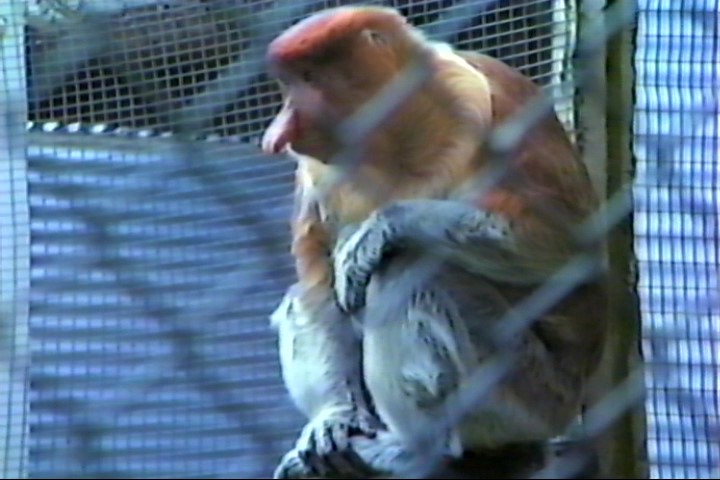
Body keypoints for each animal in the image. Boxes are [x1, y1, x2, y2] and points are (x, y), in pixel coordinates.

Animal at [262, 5, 608, 479]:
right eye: (288, 83)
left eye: (310, 77)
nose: (279, 133)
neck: (393, 142)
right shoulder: (316, 177)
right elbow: (317, 292)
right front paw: (332, 421)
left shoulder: (486, 98)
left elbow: (569, 245)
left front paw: (380, 230)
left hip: (530, 394)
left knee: (409, 269)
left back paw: (420, 451)